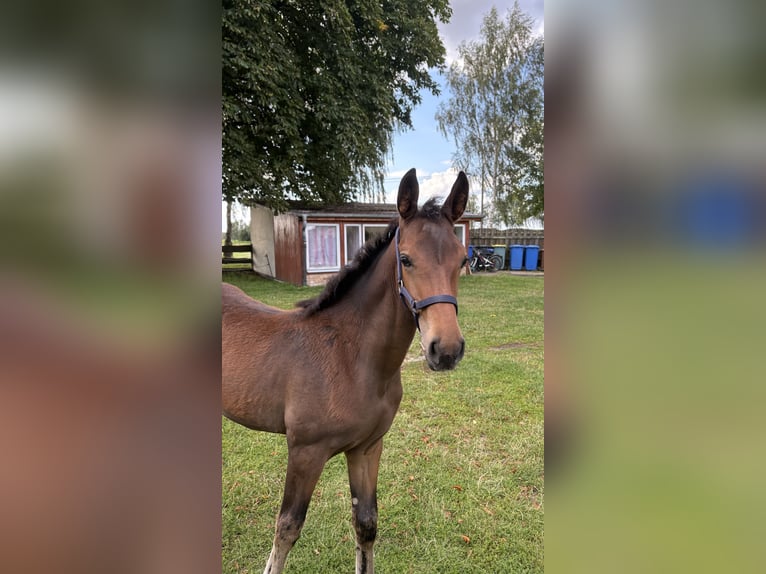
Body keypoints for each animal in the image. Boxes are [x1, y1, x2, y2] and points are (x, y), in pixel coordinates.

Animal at [222, 168, 469, 574]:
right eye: (406, 258)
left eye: (462, 259)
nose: (445, 350)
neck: (352, 357)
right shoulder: (305, 451)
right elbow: (286, 528)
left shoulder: (367, 448)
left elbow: (366, 524)